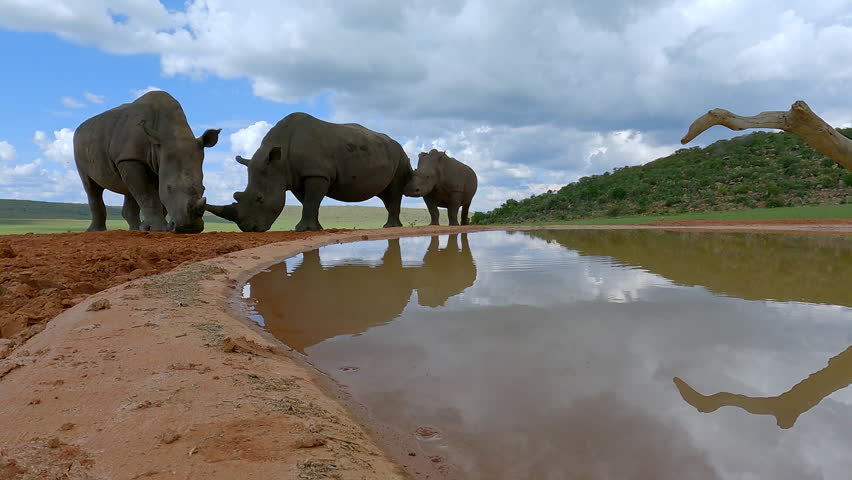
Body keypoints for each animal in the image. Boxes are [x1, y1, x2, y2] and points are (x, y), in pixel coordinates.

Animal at [73, 91, 220, 233]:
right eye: (169, 188)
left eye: (203, 188)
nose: (189, 228)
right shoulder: (130, 157)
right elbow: (148, 194)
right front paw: (158, 229)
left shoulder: (158, 160)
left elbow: (154, 195)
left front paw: (151, 227)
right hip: (82, 146)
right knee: (91, 186)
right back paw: (95, 231)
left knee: (129, 189)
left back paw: (135, 229)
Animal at [206, 112, 412, 232]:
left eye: (260, 199)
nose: (249, 229)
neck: (279, 162)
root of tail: (397, 144)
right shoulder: (296, 177)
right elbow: (308, 202)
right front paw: (316, 228)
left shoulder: (316, 173)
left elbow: (312, 201)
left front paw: (302, 230)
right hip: (383, 153)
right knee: (385, 194)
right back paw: (392, 225)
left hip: (400, 156)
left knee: (394, 189)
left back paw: (390, 227)